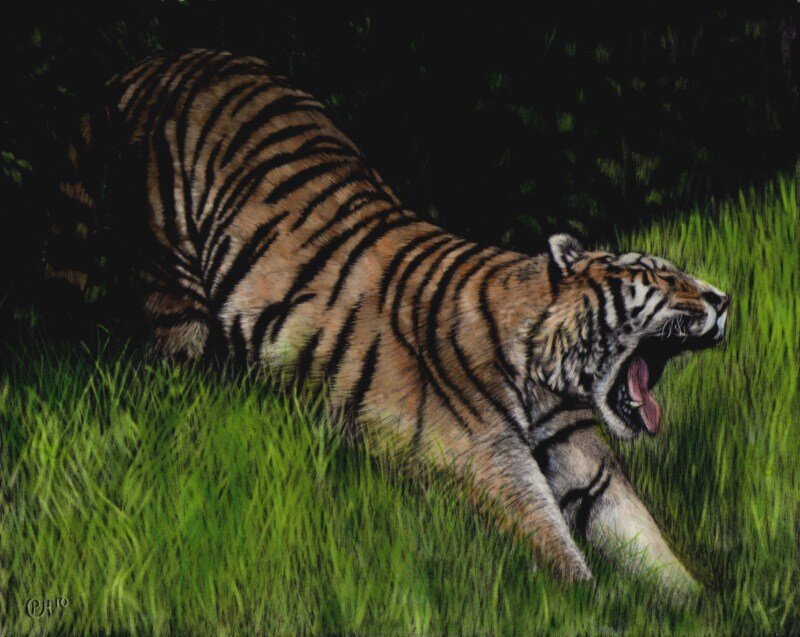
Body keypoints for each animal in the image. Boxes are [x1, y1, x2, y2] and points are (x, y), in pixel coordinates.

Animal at [47, 49, 730, 590]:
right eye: (662, 278)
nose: (723, 299)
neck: (549, 380)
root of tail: (154, 63)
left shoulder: (584, 462)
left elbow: (643, 536)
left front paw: (699, 605)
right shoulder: (485, 460)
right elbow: (554, 545)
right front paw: (598, 605)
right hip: (172, 291)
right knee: (176, 380)